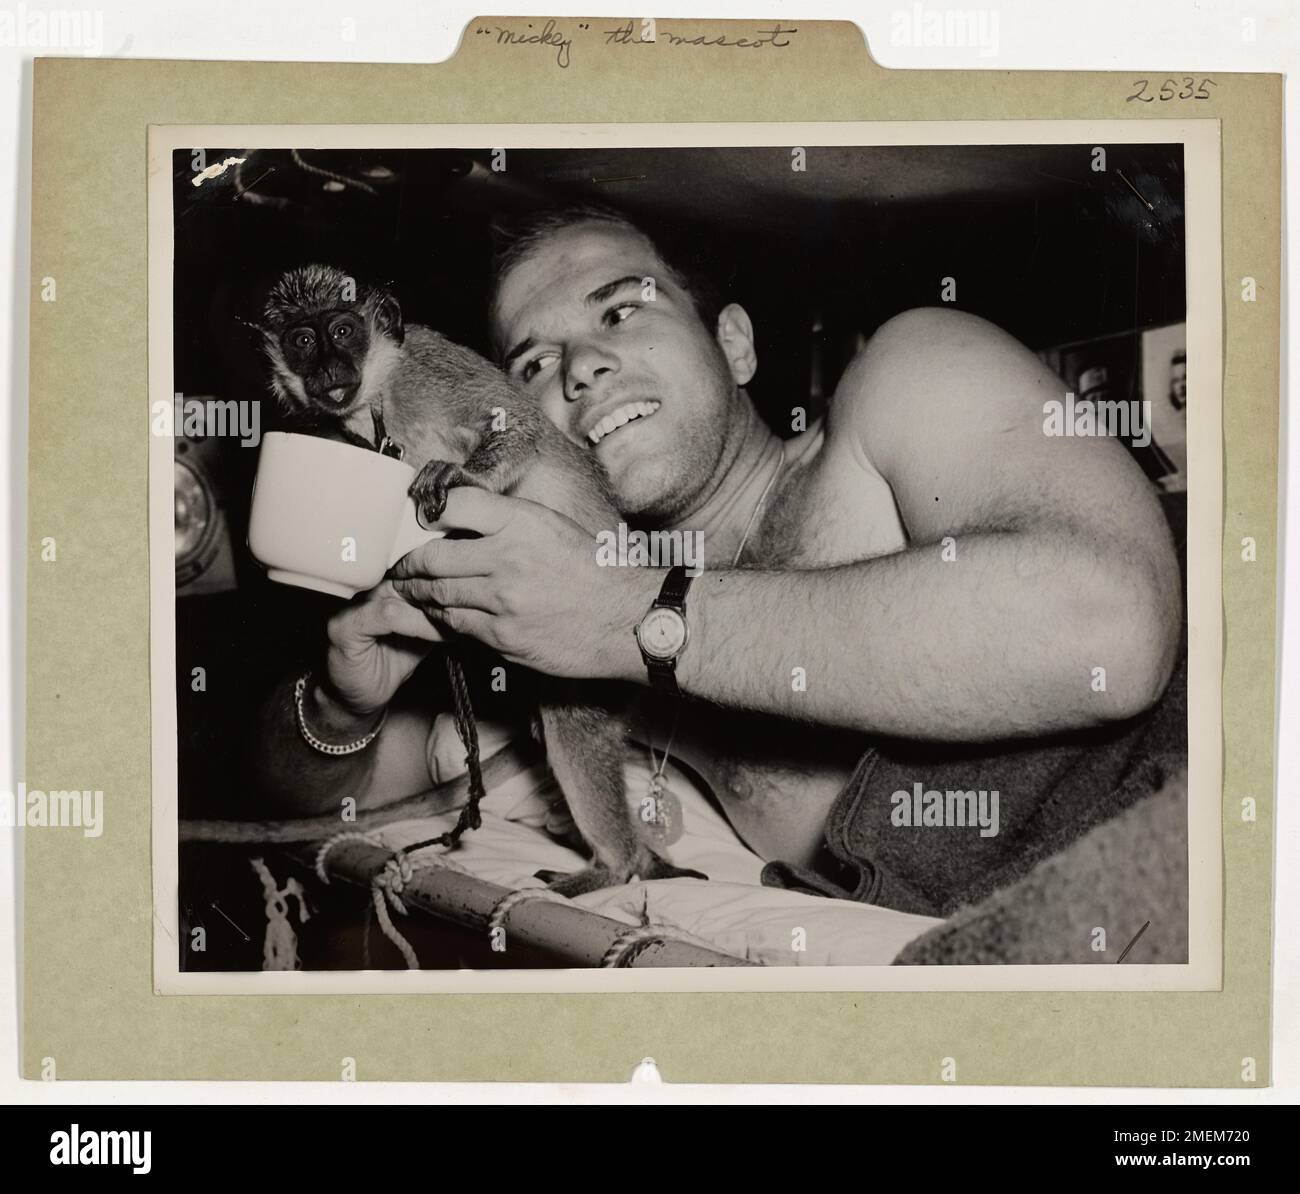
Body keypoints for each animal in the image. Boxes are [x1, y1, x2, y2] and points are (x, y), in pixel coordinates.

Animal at [246, 264, 707, 894]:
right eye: (302, 341)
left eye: (342, 331)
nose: (328, 371)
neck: (378, 400)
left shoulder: (431, 369)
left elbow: (522, 431)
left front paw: (458, 474)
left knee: (573, 726)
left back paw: (617, 867)